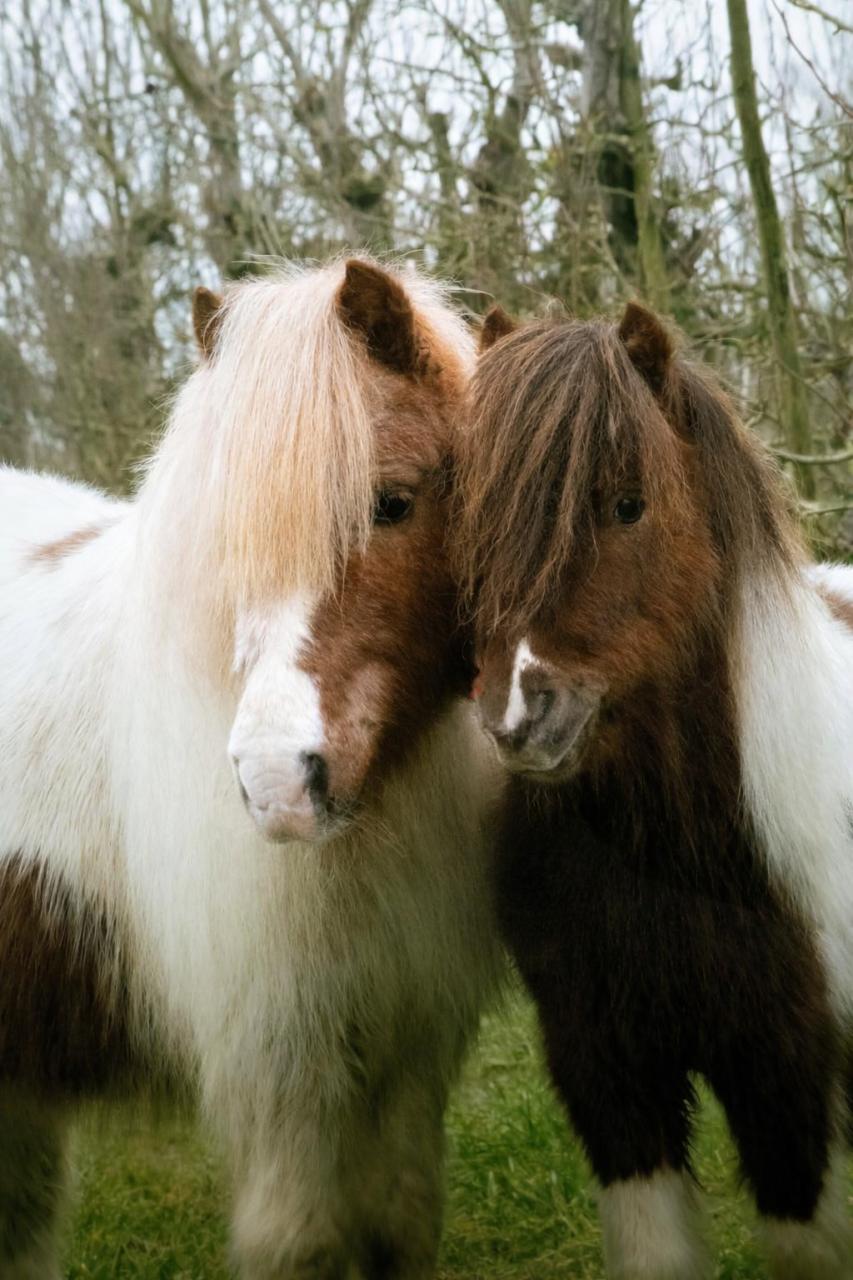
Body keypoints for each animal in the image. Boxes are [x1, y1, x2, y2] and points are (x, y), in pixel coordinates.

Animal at [0, 257, 504, 1279]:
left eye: (393, 501)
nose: (280, 784)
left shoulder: (408, 1045)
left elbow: (400, 1223)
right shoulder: (280, 1061)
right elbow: (298, 1245)